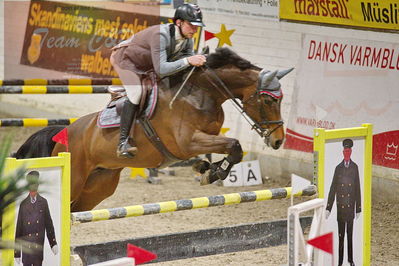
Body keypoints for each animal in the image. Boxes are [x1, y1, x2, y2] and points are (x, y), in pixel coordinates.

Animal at [14, 46, 294, 211]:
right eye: (269, 100)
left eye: (281, 99)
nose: (278, 140)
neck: (202, 92)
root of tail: (62, 135)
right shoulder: (186, 143)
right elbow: (234, 145)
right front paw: (212, 172)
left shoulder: (206, 137)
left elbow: (232, 149)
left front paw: (206, 169)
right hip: (75, 177)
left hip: (99, 185)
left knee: (75, 212)